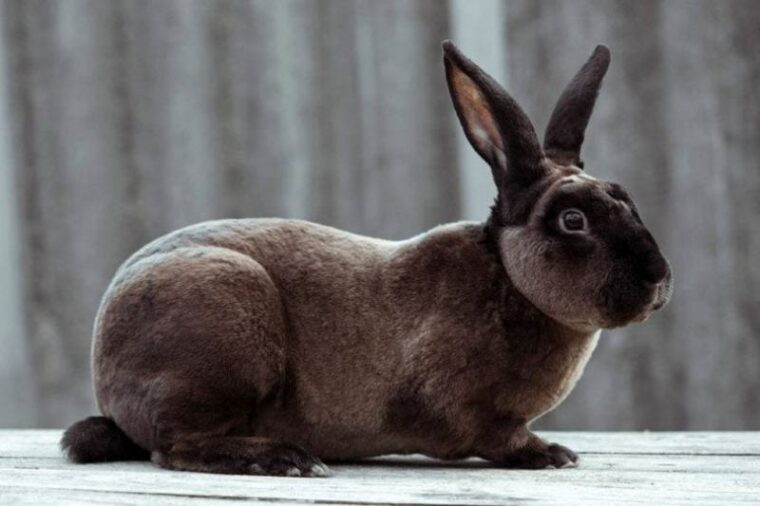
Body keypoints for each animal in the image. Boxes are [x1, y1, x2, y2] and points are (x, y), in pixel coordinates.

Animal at [61, 40, 672, 477]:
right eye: (573, 221)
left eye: (626, 198)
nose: (660, 282)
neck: (508, 280)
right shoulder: (469, 412)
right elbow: (497, 437)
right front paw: (548, 453)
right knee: (176, 446)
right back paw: (284, 459)